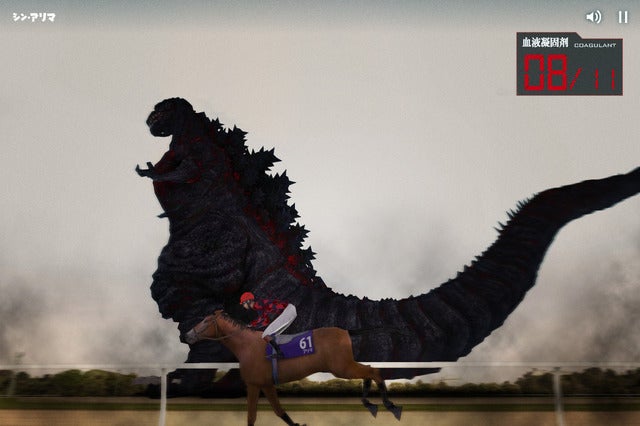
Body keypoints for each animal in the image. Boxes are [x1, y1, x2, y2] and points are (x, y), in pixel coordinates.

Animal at [184, 310, 402, 426]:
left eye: (205, 321)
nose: (187, 335)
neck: (246, 345)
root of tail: (346, 330)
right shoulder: (265, 384)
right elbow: (278, 411)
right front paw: (297, 423)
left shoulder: (255, 384)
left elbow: (252, 417)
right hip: (344, 366)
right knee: (369, 370)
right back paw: (370, 403)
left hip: (342, 367)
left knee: (373, 371)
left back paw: (389, 405)